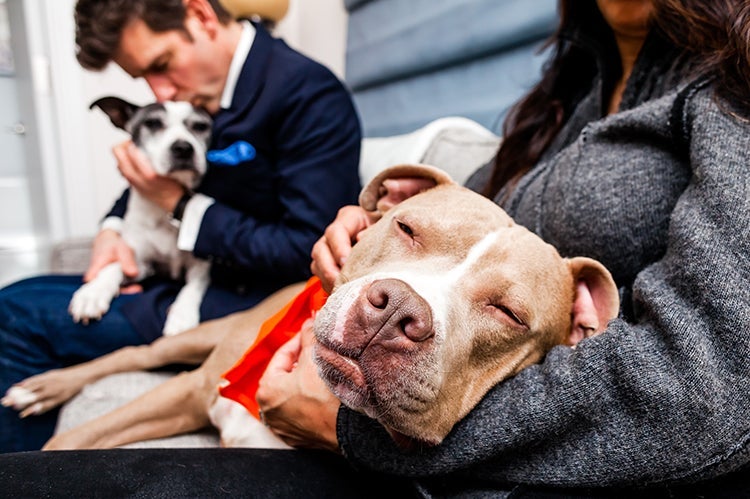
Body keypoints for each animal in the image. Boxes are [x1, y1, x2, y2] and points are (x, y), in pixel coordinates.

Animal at [1, 164, 616, 450]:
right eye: (407, 228)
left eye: (509, 314)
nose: (394, 313)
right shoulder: (191, 393)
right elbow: (69, 440)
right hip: (202, 339)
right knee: (136, 353)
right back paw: (46, 386)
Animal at [68, 97, 213, 338]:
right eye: (153, 123)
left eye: (200, 126)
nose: (183, 148)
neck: (163, 214)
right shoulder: (142, 265)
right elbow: (114, 267)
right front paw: (93, 292)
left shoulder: (200, 266)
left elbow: (192, 288)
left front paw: (182, 316)